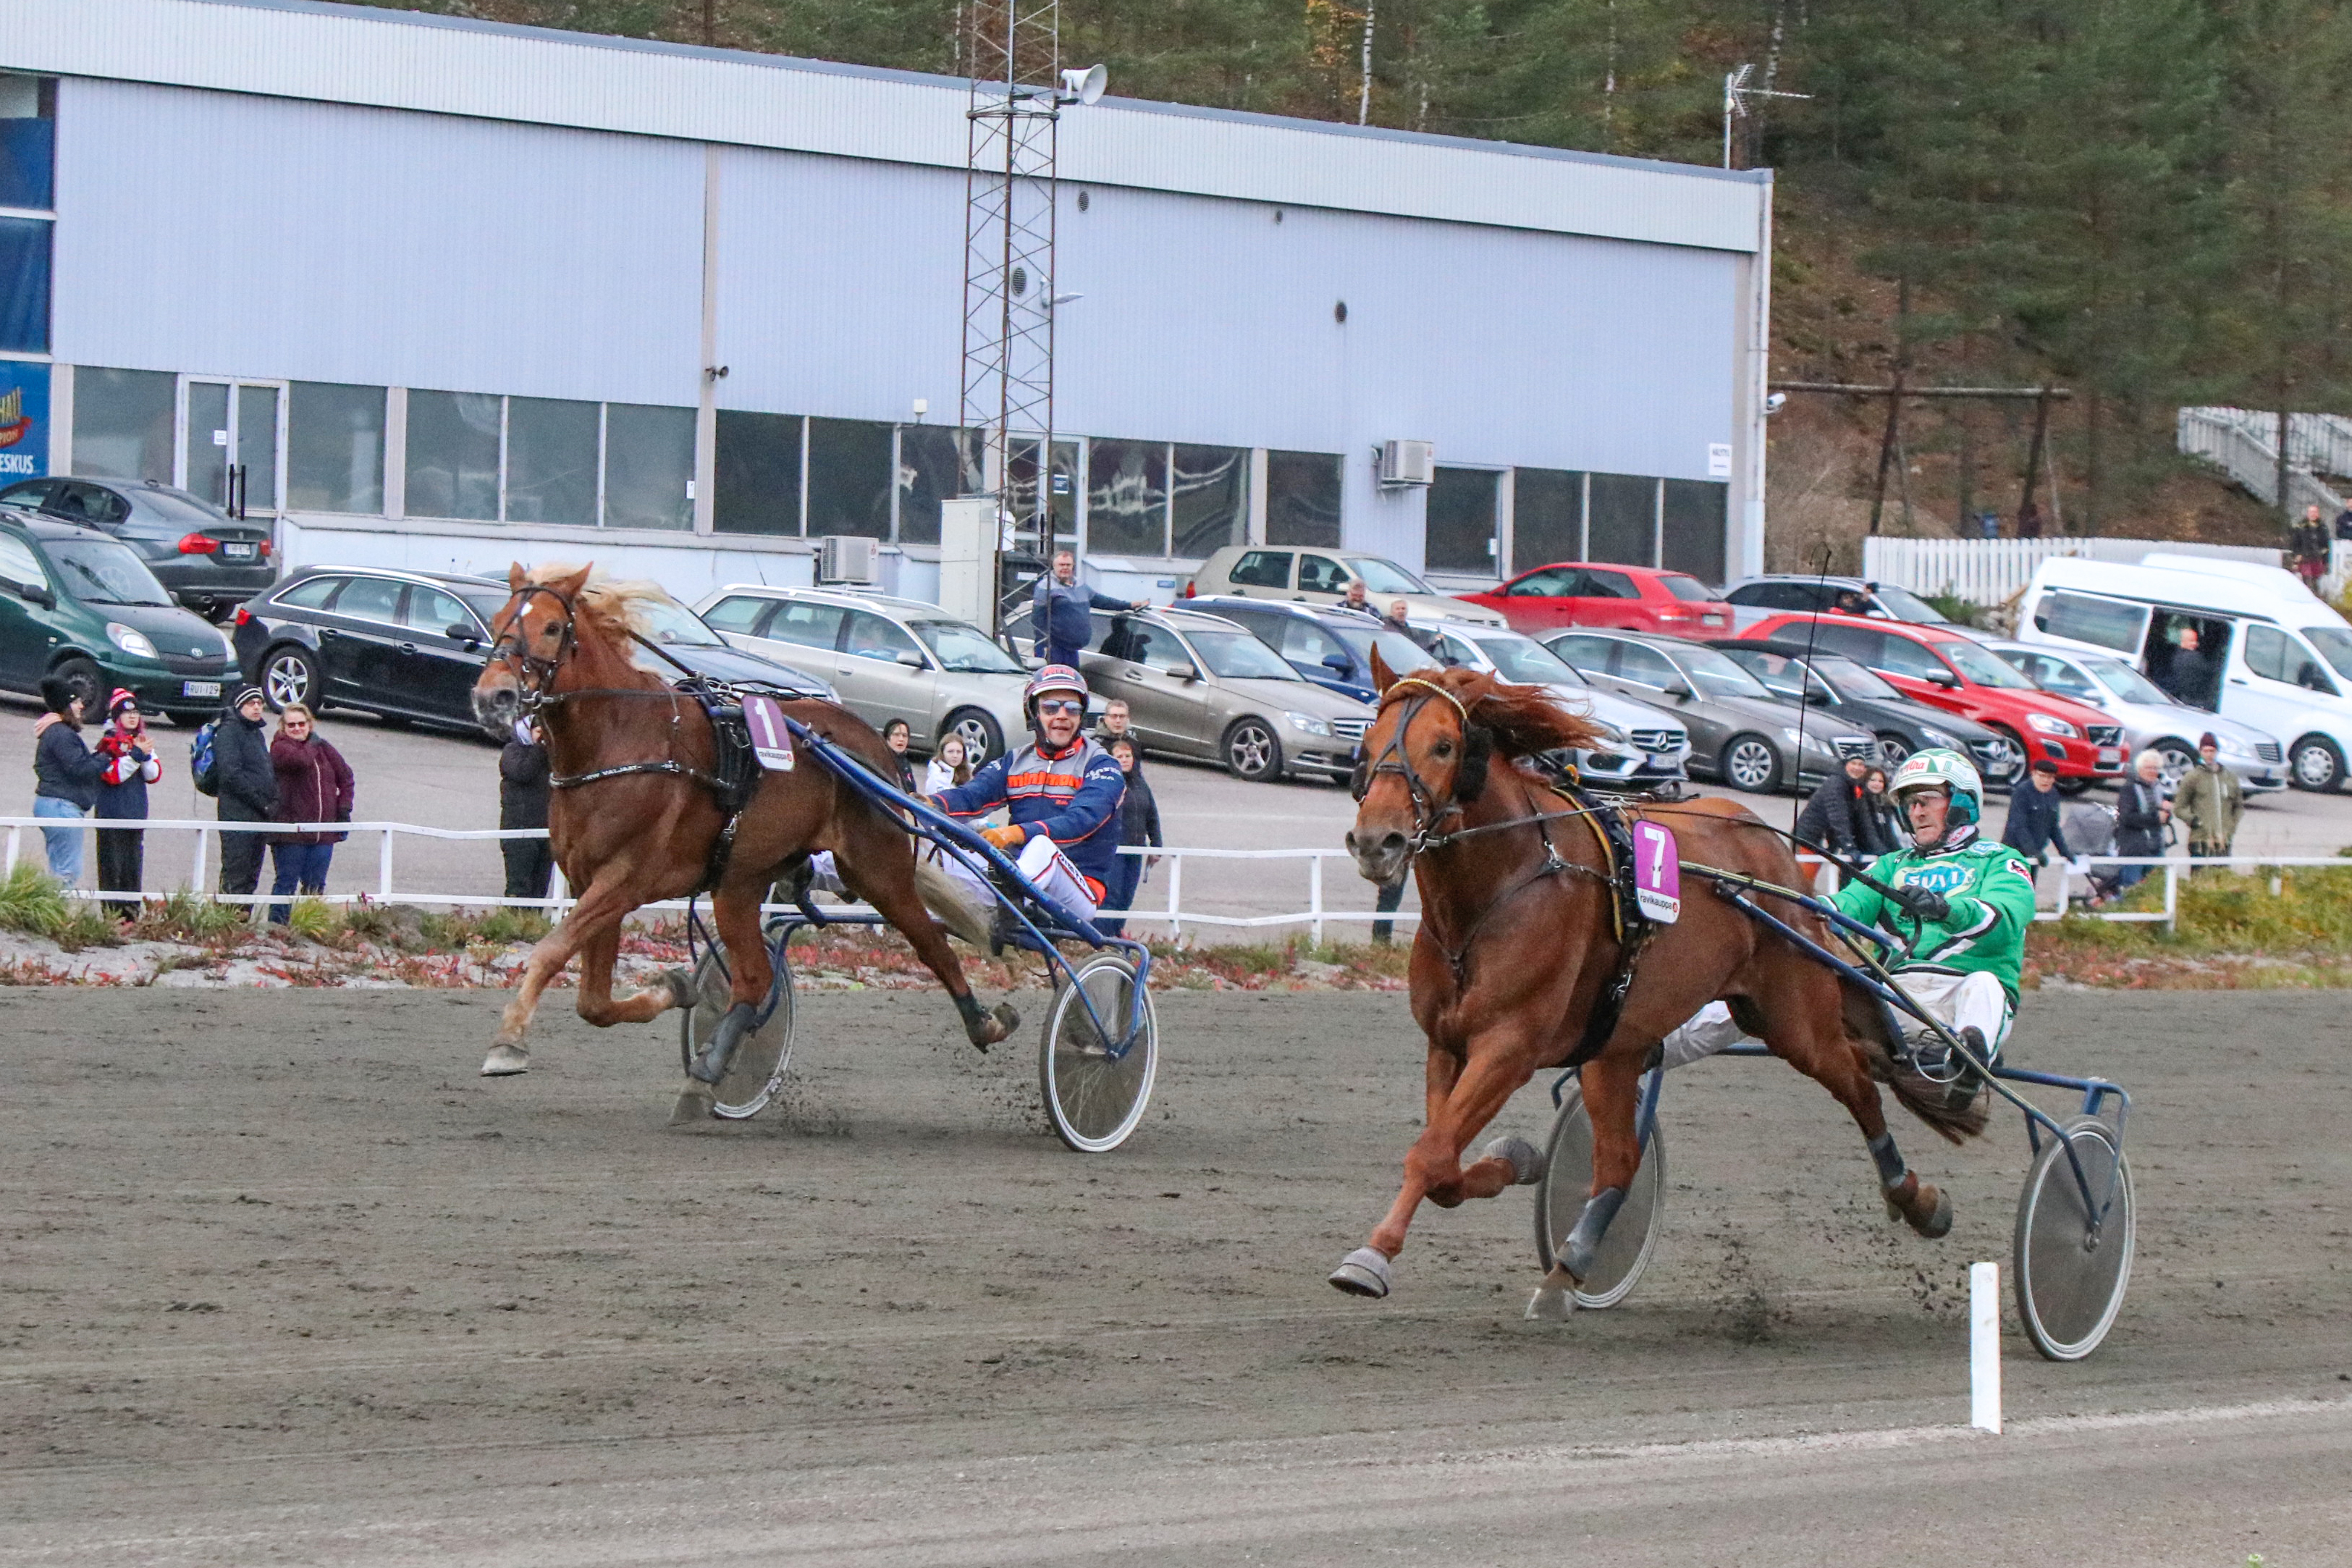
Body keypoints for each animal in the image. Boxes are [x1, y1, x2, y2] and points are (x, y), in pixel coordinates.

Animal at [465, 564, 1011, 1114]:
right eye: (498, 619)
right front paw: (675, 987)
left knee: (933, 946)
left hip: (877, 868)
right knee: (753, 979)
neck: (619, 741)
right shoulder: (588, 883)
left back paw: (984, 1022)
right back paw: (707, 1070)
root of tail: (875, 747)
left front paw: (508, 1042)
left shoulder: (624, 880)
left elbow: (551, 952)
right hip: (739, 882)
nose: (494, 698)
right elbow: (593, 1002)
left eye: (553, 627)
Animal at [1336, 658, 1976, 1316]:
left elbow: (1430, 1154)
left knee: (1859, 1085)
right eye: (1366, 743)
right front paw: (1515, 1159)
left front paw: (1369, 1259)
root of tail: (1770, 846)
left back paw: (1916, 1199)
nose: (1376, 841)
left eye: (1442, 745)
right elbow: (1442, 1167)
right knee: (1619, 1162)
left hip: (1795, 1021)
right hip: (1615, 1048)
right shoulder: (1447, 1044)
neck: (1502, 885)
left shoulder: (1507, 1048)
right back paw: (1569, 1266)